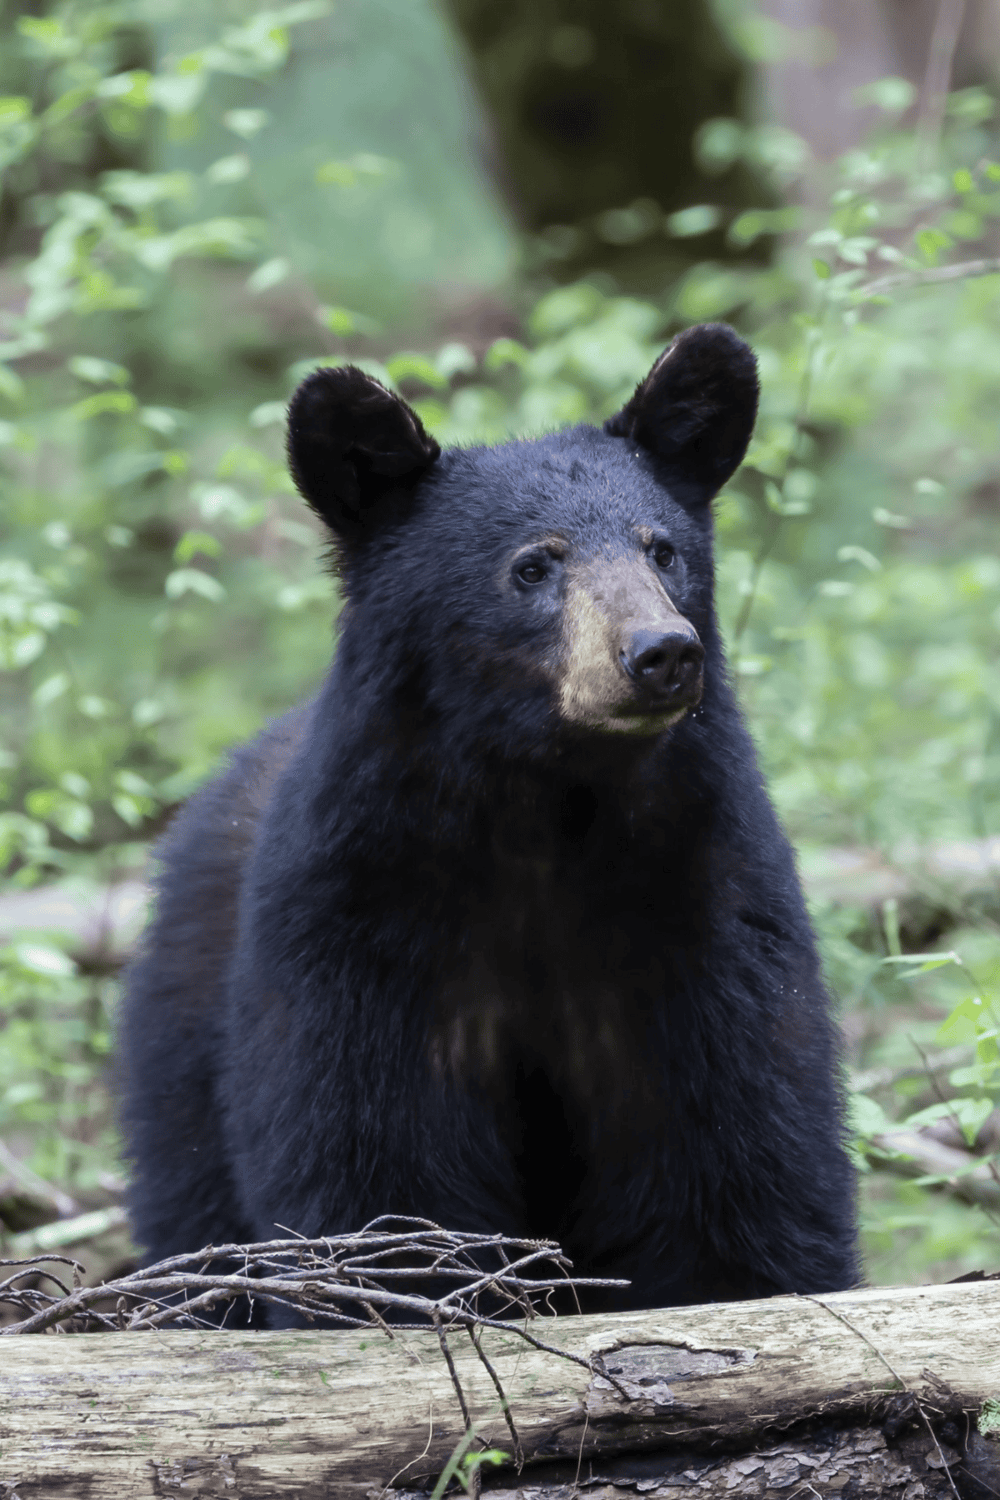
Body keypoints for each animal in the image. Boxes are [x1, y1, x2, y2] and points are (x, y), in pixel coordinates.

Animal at [119, 323, 858, 1319]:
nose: (661, 653)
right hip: (181, 1037)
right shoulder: (359, 927)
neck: (548, 807)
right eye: (533, 565)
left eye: (663, 550)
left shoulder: (700, 896)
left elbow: (740, 1143)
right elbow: (373, 1165)